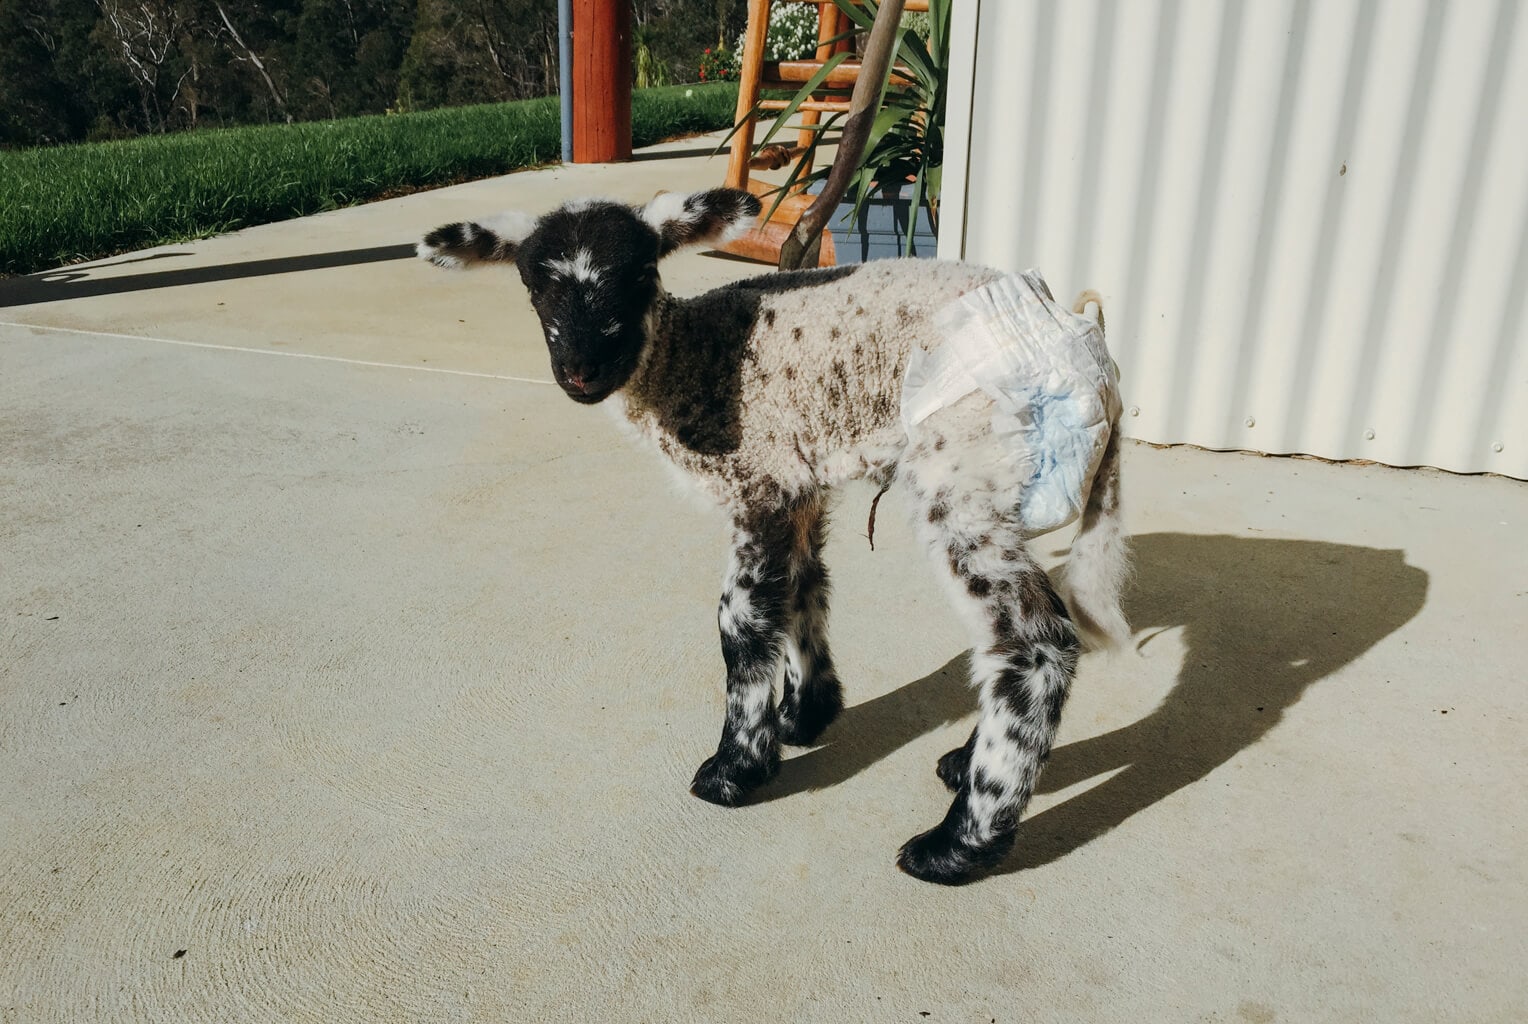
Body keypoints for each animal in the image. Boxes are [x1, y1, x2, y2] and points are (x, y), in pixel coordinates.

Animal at [418, 186, 1136, 880]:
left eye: (642, 273)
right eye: (532, 287)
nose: (581, 371)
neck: (688, 359)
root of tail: (1092, 351)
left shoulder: (759, 482)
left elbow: (741, 623)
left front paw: (736, 769)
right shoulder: (797, 482)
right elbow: (801, 590)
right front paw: (805, 714)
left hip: (963, 465)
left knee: (1034, 639)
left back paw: (957, 845)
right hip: (1000, 481)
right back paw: (962, 766)